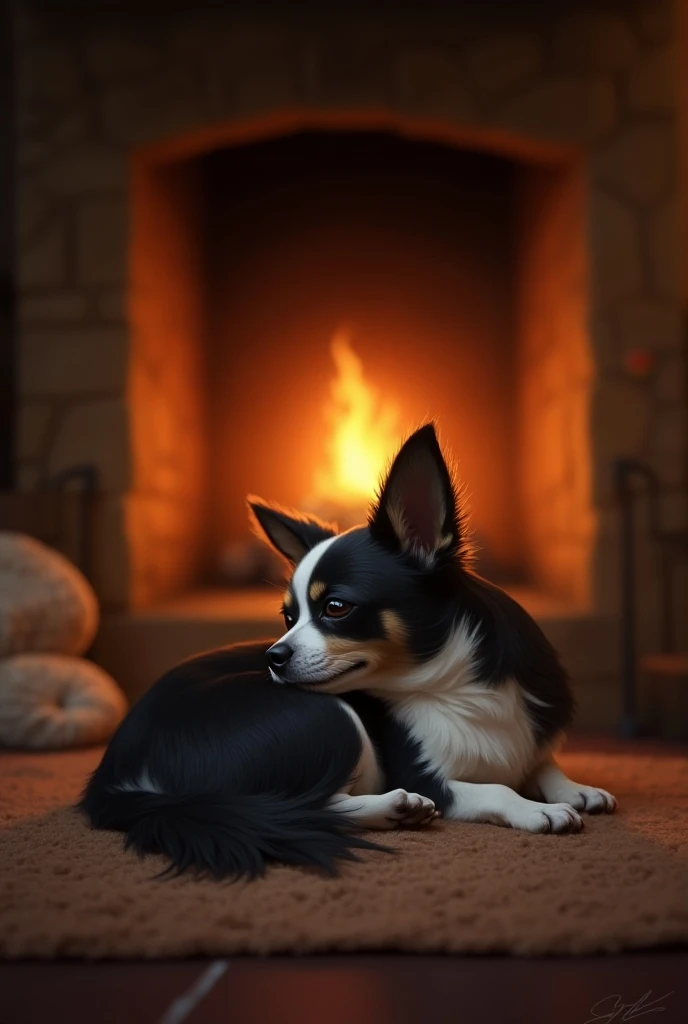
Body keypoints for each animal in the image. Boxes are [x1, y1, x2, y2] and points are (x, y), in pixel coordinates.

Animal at [81, 423, 618, 880]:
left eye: (335, 608)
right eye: (289, 617)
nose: (273, 656)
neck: (455, 688)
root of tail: (113, 774)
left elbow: (540, 762)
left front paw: (575, 789)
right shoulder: (430, 778)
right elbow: (498, 786)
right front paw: (537, 808)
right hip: (327, 717)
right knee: (298, 806)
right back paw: (394, 808)